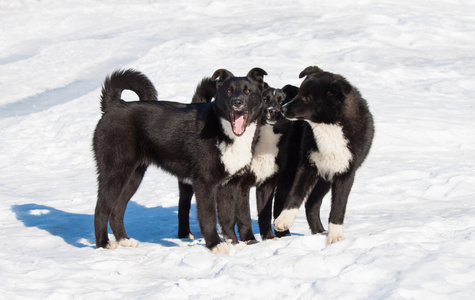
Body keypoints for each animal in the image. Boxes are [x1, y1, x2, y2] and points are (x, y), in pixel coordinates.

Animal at [93, 67, 268, 253]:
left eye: (248, 91)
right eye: (228, 91)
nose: (237, 102)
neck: (224, 132)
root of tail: (114, 105)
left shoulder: (229, 185)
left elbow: (227, 218)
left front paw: (233, 242)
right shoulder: (204, 183)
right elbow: (208, 217)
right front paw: (215, 244)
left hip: (133, 176)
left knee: (117, 209)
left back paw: (124, 240)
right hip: (115, 172)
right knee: (101, 209)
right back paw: (103, 243)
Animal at [276, 65, 376, 244]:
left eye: (307, 98)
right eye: (299, 93)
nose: (282, 109)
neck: (328, 128)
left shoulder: (346, 173)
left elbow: (338, 207)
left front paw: (335, 237)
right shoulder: (307, 165)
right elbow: (295, 194)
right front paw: (284, 220)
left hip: (325, 178)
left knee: (311, 204)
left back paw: (320, 232)